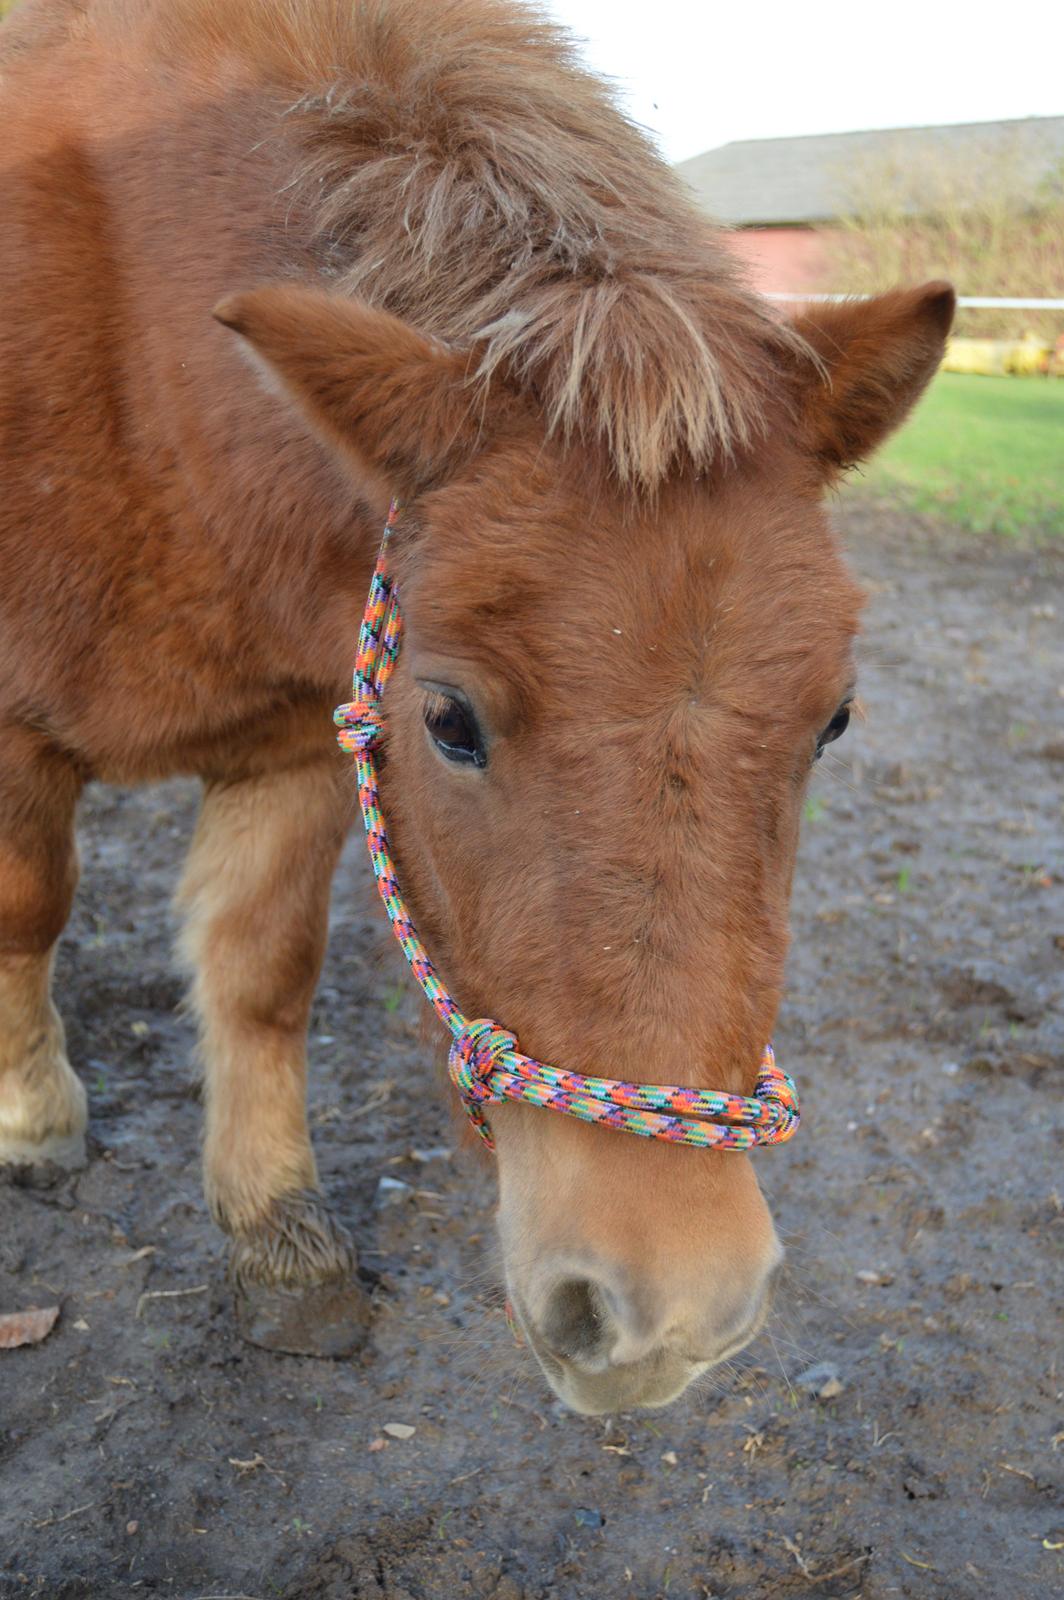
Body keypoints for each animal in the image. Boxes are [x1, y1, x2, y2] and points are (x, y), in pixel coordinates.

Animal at [0, 0, 947, 1408]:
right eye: (448, 720)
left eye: (830, 720)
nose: (670, 1309)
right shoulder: (16, 731)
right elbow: (29, 910)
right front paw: (32, 1116)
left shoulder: (299, 739)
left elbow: (262, 969)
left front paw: (275, 1229)